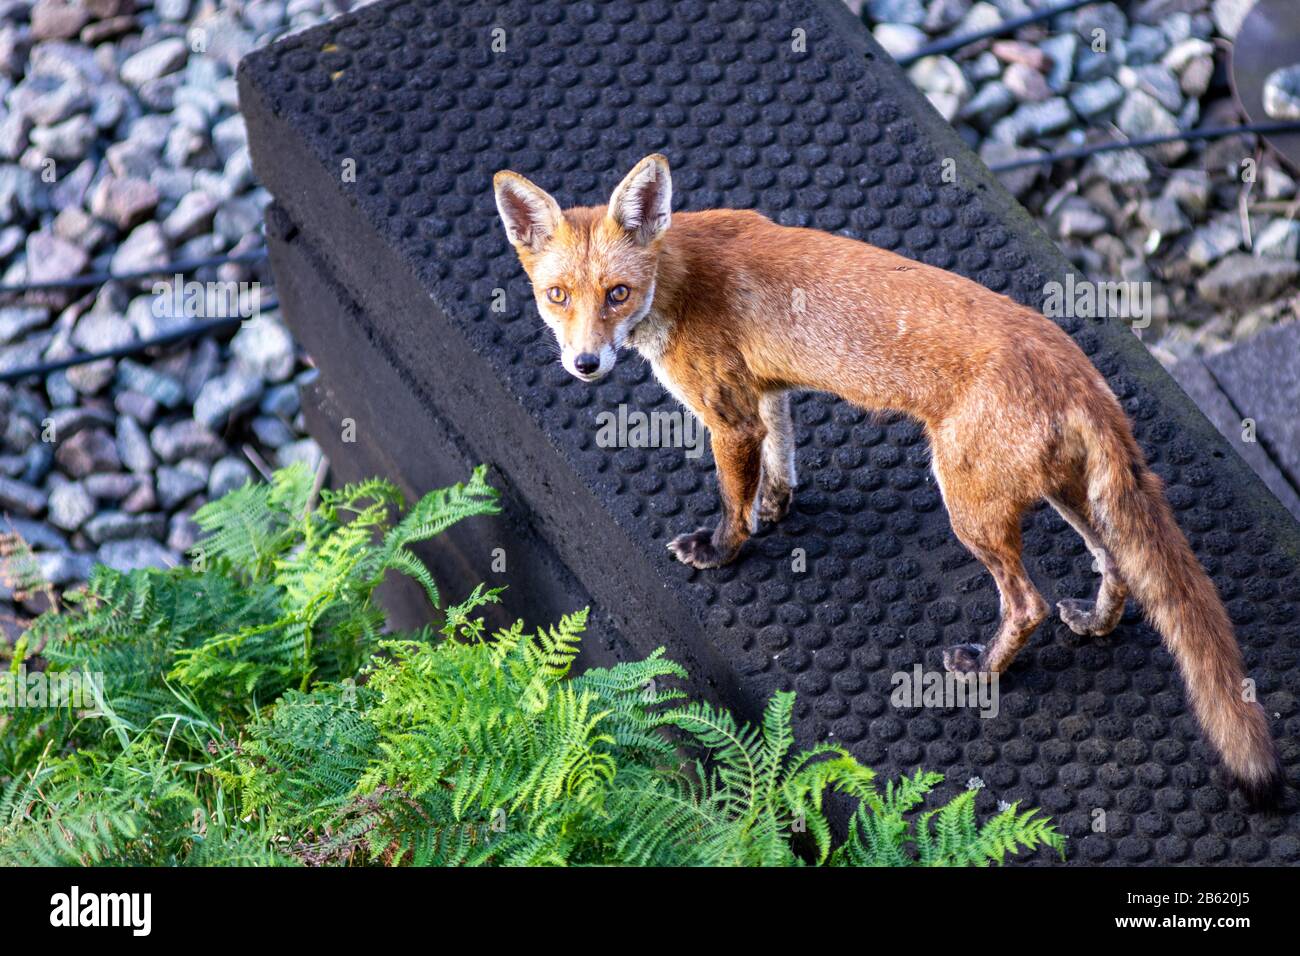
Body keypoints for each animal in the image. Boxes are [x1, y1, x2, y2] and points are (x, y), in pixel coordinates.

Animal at [493, 153, 1284, 805]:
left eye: (618, 293)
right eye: (558, 296)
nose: (586, 364)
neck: (678, 279)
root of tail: (1073, 365)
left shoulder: (729, 418)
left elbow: (732, 500)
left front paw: (723, 548)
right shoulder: (768, 393)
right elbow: (781, 461)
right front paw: (777, 508)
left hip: (968, 503)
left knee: (1026, 602)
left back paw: (983, 671)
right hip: (1064, 495)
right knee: (1113, 564)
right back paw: (1094, 622)